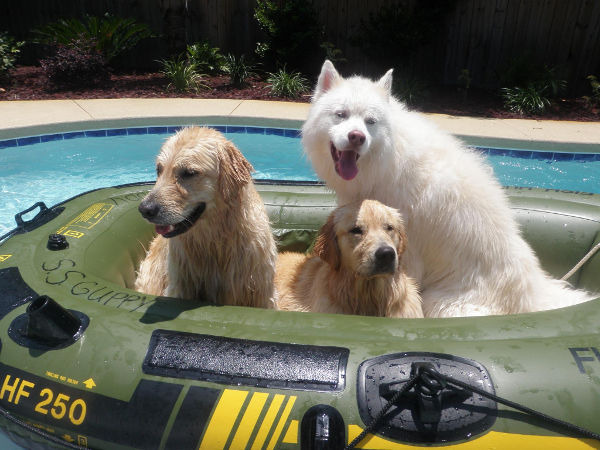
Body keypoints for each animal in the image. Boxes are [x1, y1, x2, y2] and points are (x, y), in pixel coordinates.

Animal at [134, 127, 276, 310]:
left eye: (189, 173)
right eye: (159, 170)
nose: (145, 209)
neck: (214, 240)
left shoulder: (260, 290)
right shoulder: (180, 285)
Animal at [304, 61, 592, 318]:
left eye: (370, 121)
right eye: (341, 114)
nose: (357, 137)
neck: (386, 161)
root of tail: (531, 298)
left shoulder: (408, 257)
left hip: (440, 300)